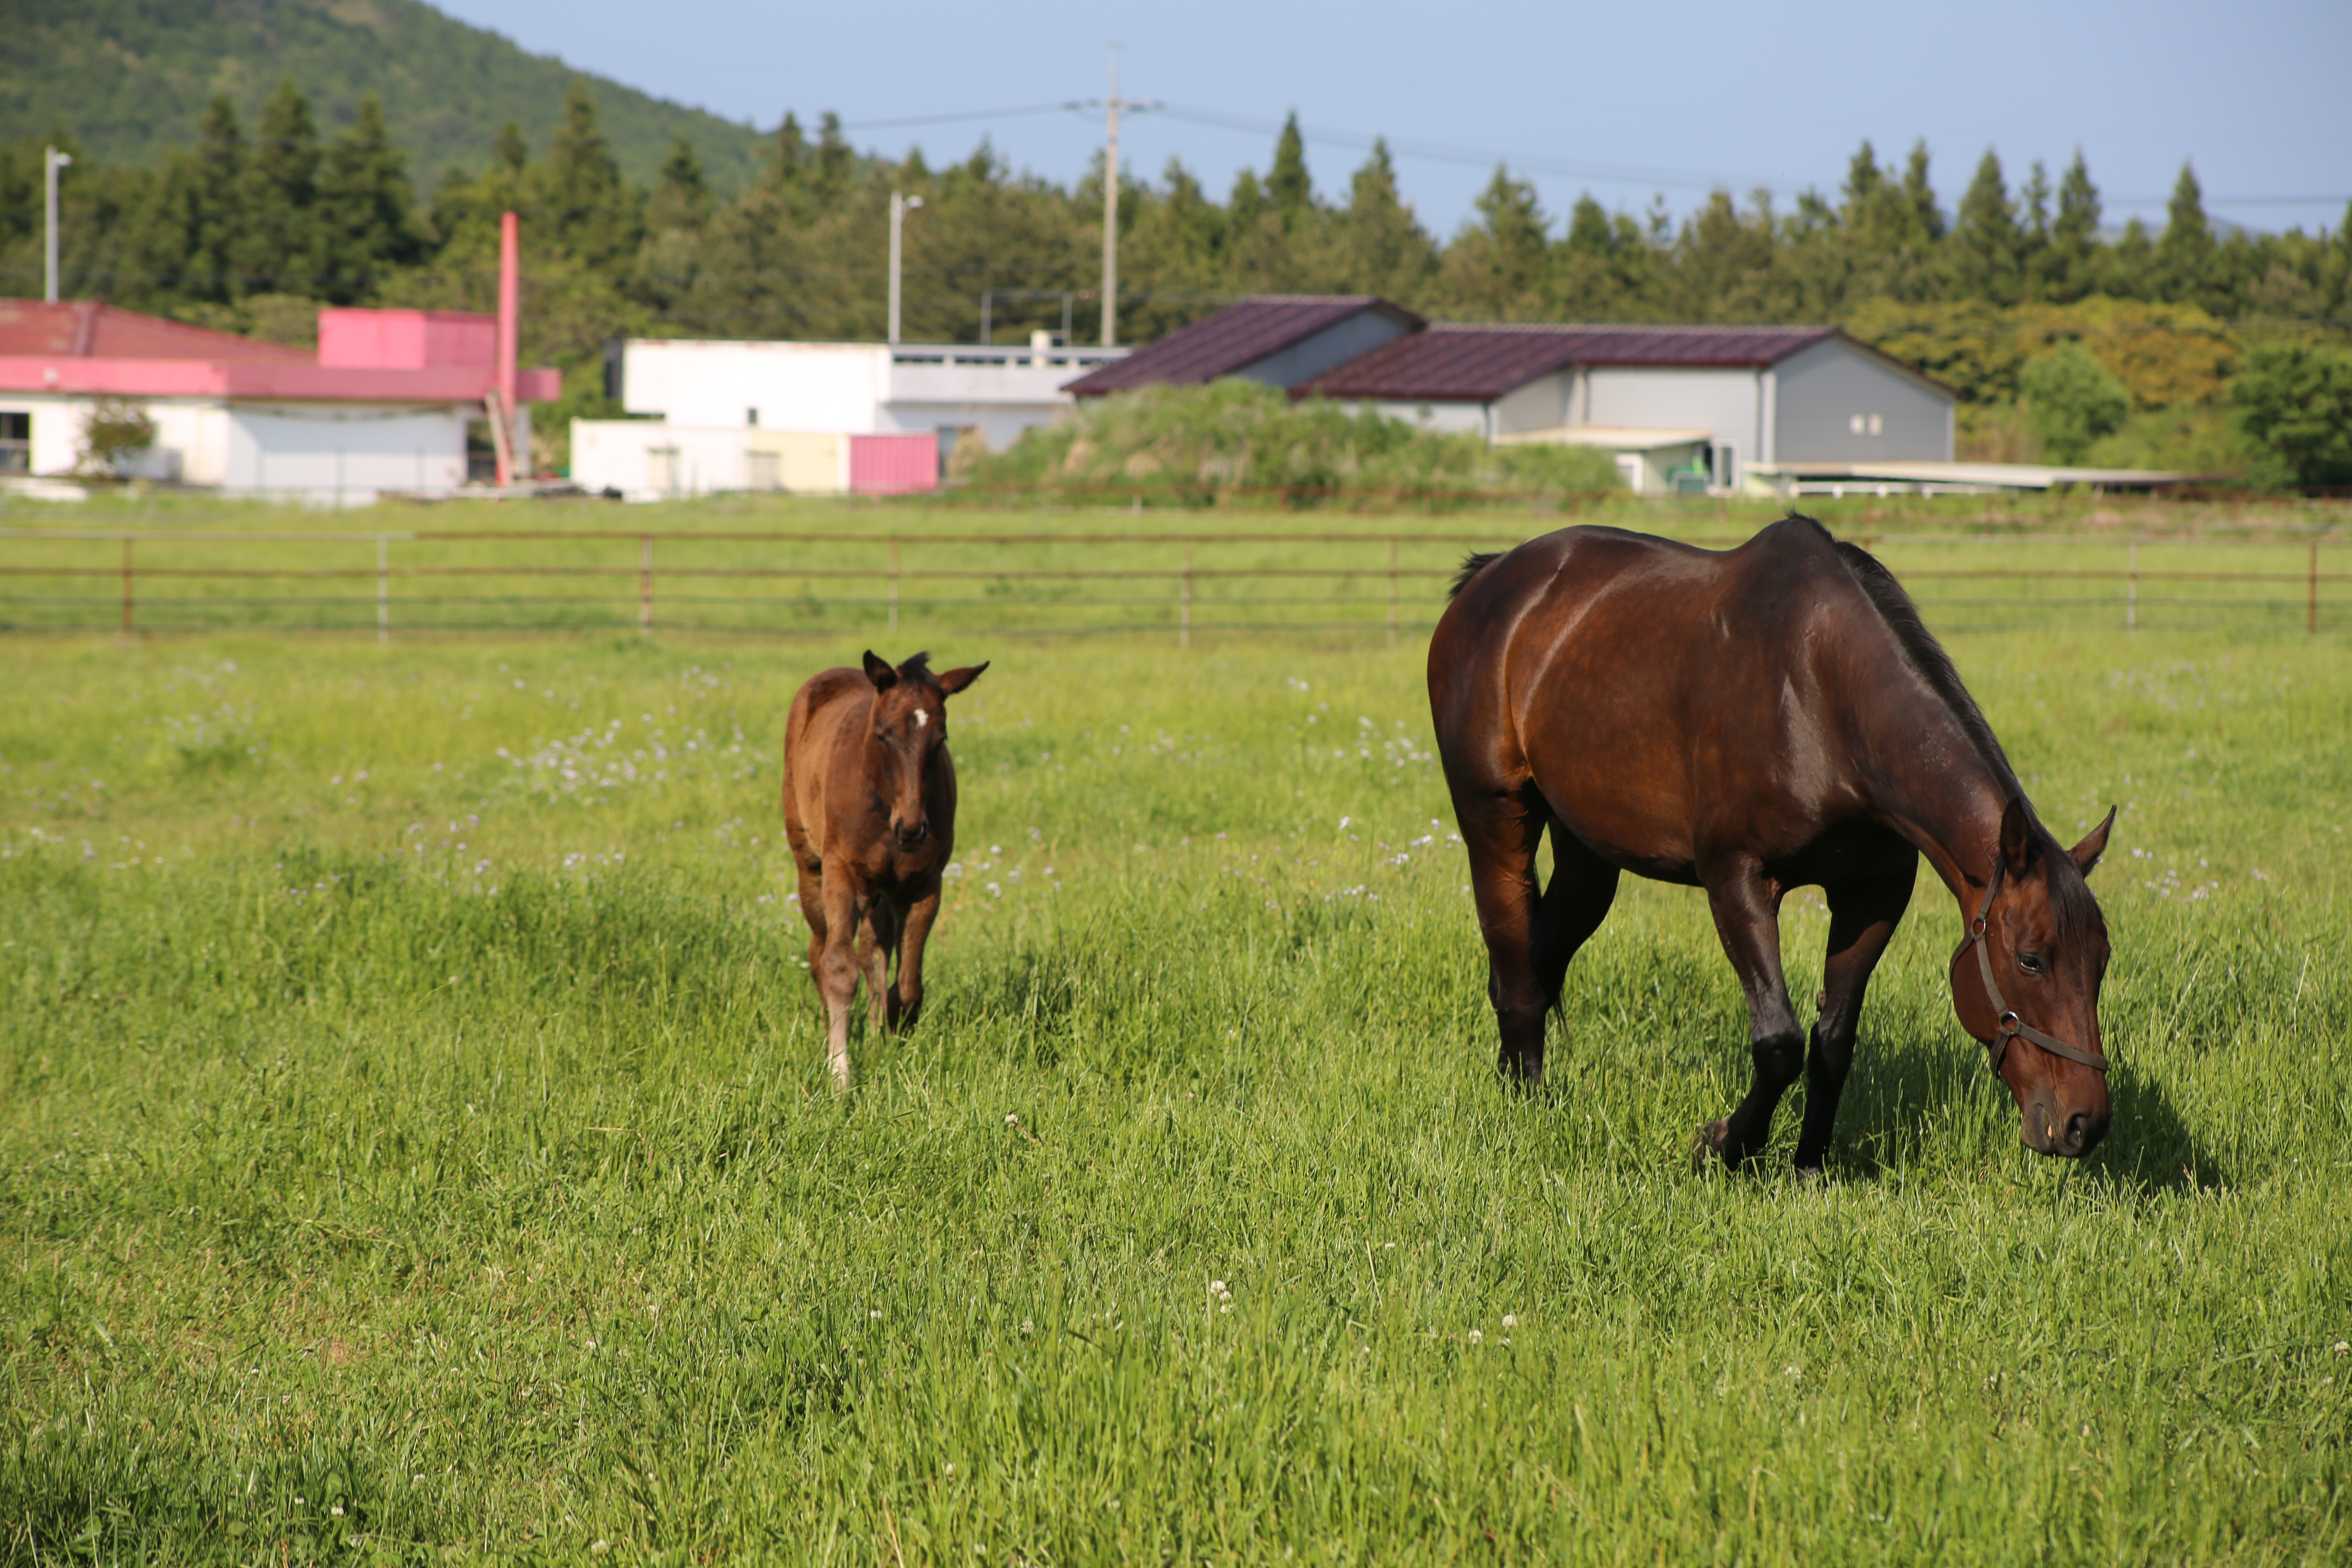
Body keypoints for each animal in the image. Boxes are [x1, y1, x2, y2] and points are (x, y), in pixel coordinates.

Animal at [781, 648, 983, 1091]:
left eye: (941, 738)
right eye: (882, 735)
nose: (912, 829)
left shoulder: (924, 884)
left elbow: (907, 985)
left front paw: (895, 1051)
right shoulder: (841, 872)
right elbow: (839, 968)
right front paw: (840, 1073)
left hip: (883, 888)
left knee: (876, 949)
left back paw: (874, 1036)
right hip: (810, 865)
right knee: (820, 949)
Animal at [1421, 522, 2126, 1171]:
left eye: (2102, 961)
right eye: (2031, 960)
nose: (2083, 1123)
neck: (1819, 696)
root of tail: (1491, 578)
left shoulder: (1873, 894)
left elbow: (1834, 1039)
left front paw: (1810, 1163)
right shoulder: (1736, 877)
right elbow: (1780, 1042)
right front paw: (1725, 1144)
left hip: (1590, 855)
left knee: (1538, 960)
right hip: (1494, 818)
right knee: (1513, 964)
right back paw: (1524, 1105)